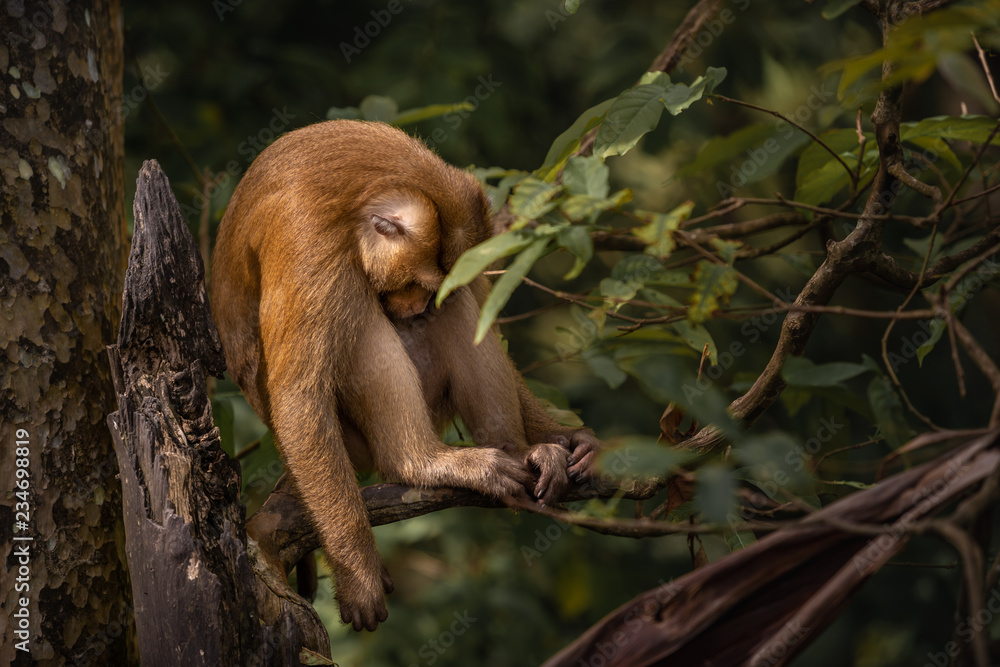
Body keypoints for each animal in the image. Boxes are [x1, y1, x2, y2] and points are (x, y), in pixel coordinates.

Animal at [211, 119, 601, 632]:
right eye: (415, 283)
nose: (418, 307)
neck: (365, 193)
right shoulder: (309, 243)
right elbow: (299, 398)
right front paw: (357, 570)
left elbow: (475, 305)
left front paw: (565, 437)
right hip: (356, 442)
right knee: (355, 314)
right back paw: (418, 462)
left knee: (456, 309)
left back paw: (518, 450)